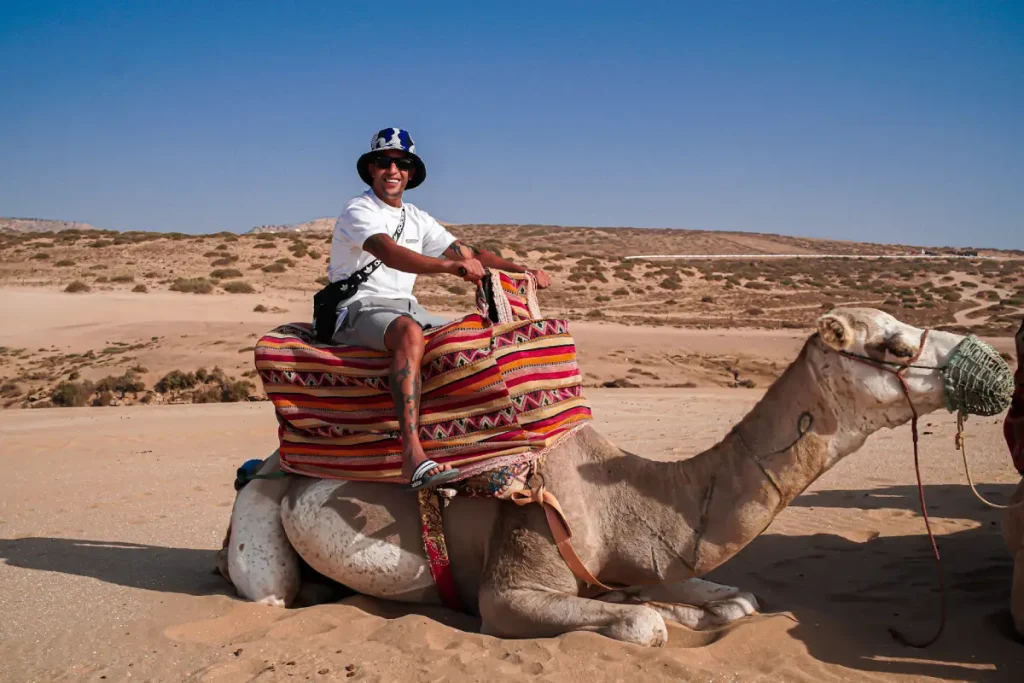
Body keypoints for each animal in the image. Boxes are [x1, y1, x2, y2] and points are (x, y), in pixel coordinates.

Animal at [218, 307, 1011, 646]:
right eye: (893, 345)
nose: (997, 368)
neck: (621, 502)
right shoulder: (510, 583)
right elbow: (644, 622)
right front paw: (651, 613)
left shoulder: (651, 559)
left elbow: (734, 601)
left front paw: (690, 607)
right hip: (263, 519)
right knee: (273, 596)